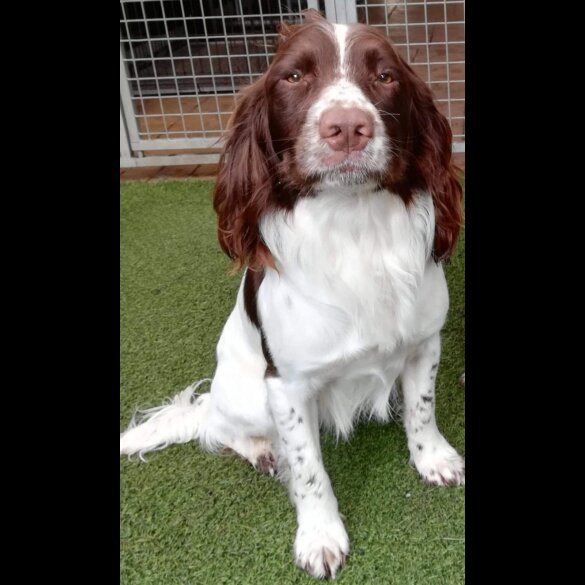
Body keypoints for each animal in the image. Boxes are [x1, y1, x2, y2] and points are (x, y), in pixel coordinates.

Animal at [120, 10, 466, 580]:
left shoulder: (424, 343)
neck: (354, 228)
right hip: (244, 396)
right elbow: (308, 468)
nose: (347, 127)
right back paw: (261, 450)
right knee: (216, 425)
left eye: (385, 76)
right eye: (294, 77)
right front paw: (320, 536)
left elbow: (422, 408)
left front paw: (432, 459)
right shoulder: (287, 385)